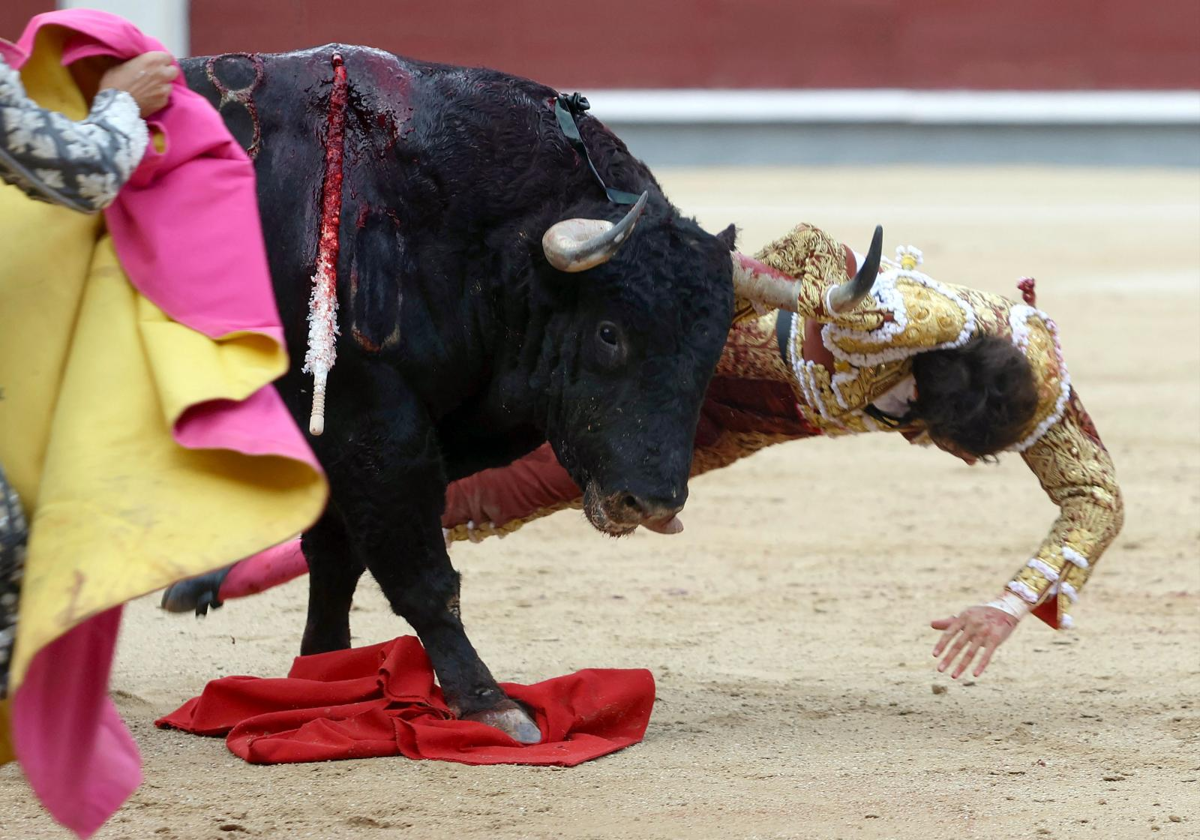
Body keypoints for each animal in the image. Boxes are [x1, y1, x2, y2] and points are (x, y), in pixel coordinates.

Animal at [178, 47, 739, 739]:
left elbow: (334, 556)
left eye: (712, 349)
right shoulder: (368, 419)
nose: (652, 502)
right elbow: (421, 574)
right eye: (610, 333)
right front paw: (489, 701)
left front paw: (322, 677)